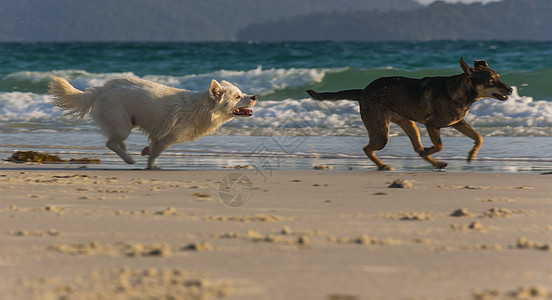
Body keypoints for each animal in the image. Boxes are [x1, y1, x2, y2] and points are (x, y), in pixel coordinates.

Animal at [49, 77, 256, 169]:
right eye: (238, 97)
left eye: (242, 93)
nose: (254, 96)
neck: (204, 107)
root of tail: (101, 90)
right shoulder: (168, 137)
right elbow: (157, 151)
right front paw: (150, 165)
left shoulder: (160, 135)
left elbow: (153, 147)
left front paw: (147, 155)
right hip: (122, 124)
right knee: (110, 142)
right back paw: (128, 158)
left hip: (125, 123)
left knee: (115, 140)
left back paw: (125, 149)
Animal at [306, 58, 512, 171]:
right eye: (491, 81)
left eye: (498, 77)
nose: (510, 89)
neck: (461, 92)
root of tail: (363, 91)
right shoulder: (432, 124)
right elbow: (439, 145)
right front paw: (431, 149)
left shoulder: (457, 122)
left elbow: (478, 137)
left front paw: (471, 155)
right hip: (381, 131)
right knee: (367, 149)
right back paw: (382, 165)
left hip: (408, 124)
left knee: (416, 148)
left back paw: (436, 164)